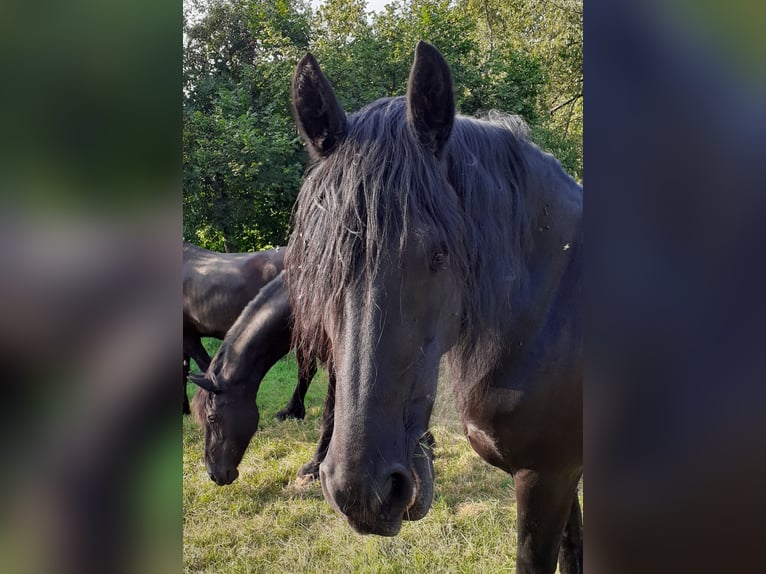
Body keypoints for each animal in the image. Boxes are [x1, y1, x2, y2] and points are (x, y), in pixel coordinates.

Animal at [286, 41, 584, 574]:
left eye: (439, 253)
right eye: (322, 259)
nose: (360, 492)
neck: (550, 313)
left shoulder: (548, 476)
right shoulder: (563, 475)